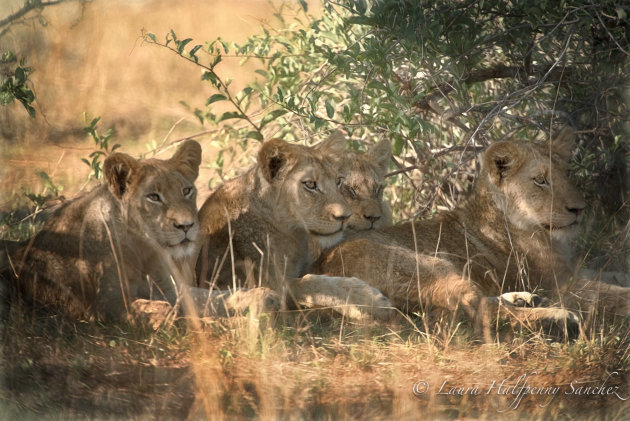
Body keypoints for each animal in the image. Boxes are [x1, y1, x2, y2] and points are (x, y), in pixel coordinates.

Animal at [3, 139, 278, 324]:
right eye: (153, 197)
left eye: (187, 190)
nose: (187, 226)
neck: (141, 248)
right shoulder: (105, 306)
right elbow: (166, 310)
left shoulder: (170, 288)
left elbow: (215, 297)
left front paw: (263, 296)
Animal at [200, 135, 392, 318]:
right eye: (310, 185)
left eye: (338, 181)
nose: (344, 216)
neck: (293, 233)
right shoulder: (272, 283)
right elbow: (312, 283)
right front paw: (370, 300)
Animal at [320, 128, 630, 338]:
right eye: (541, 180)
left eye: (567, 175)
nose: (579, 209)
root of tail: (326, 263)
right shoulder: (558, 283)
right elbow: (611, 294)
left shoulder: (571, 271)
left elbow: (614, 276)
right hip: (431, 266)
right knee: (481, 310)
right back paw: (557, 319)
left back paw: (524, 299)